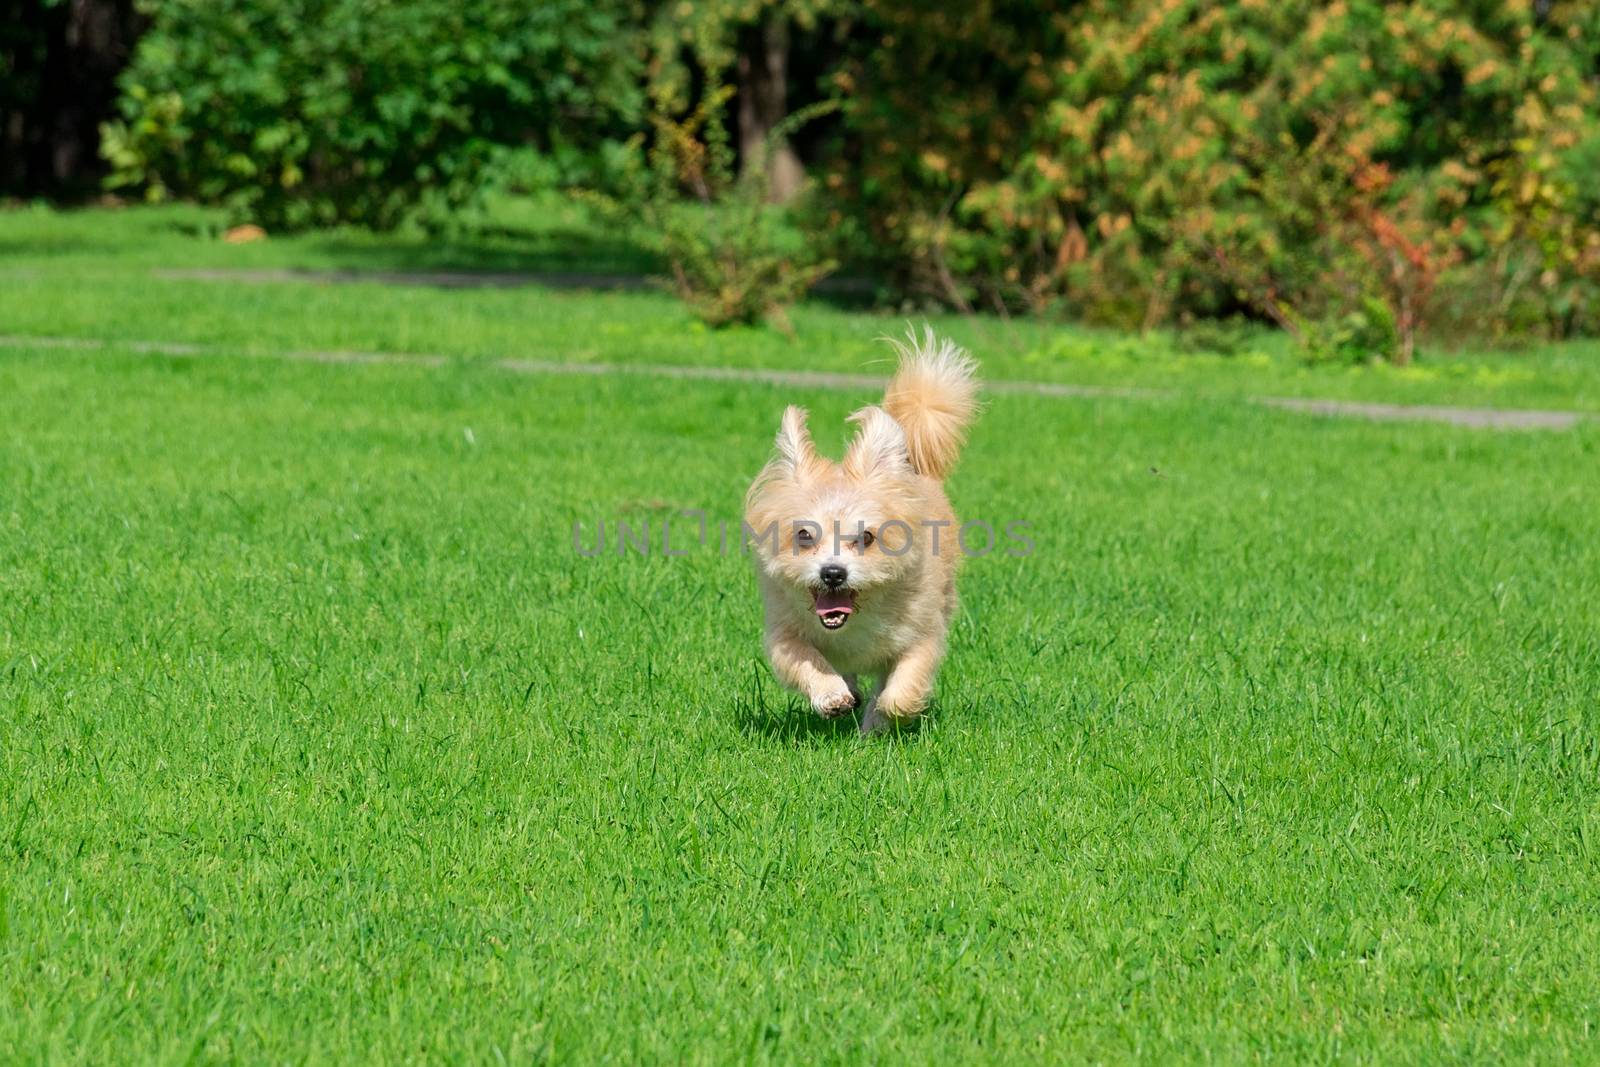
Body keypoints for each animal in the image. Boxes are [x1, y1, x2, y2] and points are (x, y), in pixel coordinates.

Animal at [745, 331, 979, 735]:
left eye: (866, 537)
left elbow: (902, 687)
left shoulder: (922, 634)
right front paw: (831, 694)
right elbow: (804, 659)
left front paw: (880, 718)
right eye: (804, 535)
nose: (832, 573)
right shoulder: (783, 634)